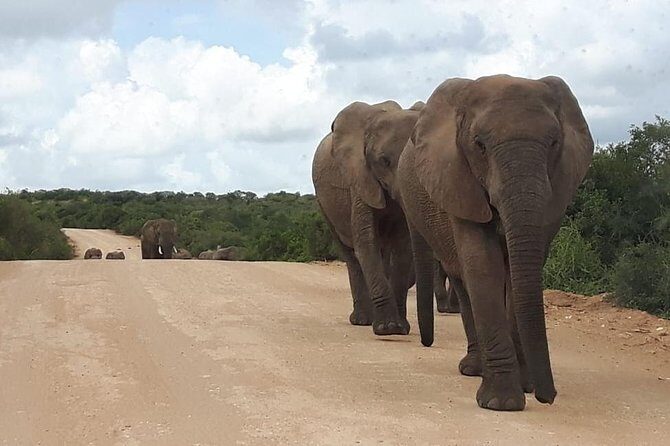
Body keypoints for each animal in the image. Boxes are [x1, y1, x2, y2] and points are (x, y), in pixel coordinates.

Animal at [312, 100, 424, 335]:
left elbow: (402, 248)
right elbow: (366, 241)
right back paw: (362, 320)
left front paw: (399, 328)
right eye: (384, 161)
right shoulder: (359, 176)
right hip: (324, 204)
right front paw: (387, 328)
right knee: (351, 255)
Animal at [397, 75, 593, 411]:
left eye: (554, 143)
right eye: (480, 145)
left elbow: (518, 271)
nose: (548, 397)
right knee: (464, 281)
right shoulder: (458, 180)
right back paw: (473, 370)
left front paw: (525, 387)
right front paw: (502, 403)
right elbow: (482, 265)